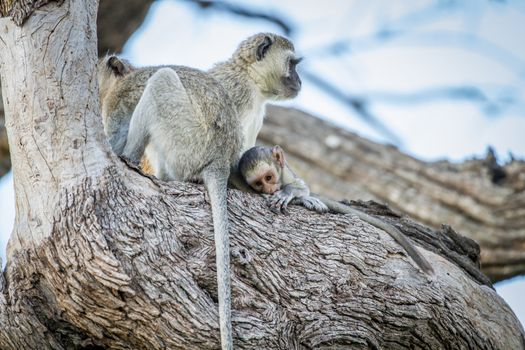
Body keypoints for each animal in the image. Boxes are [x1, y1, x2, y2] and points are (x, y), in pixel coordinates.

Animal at [239, 144, 432, 274]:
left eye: (269, 178)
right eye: (259, 184)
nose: (269, 190)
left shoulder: (286, 172)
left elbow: (301, 187)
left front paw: (289, 193)